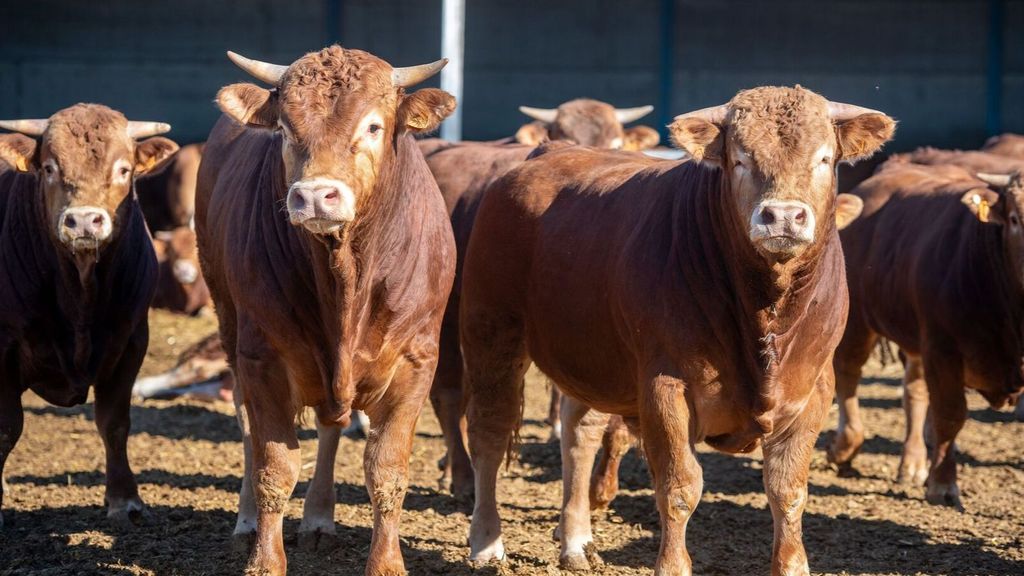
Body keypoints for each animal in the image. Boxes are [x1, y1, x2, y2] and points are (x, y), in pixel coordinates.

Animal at [0, 105, 176, 528]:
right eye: (49, 167)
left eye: (124, 169)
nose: (82, 221)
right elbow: (7, 428)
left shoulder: (132, 340)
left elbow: (114, 423)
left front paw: (124, 499)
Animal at [194, 45, 456, 573]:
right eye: (284, 128)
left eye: (373, 126)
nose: (315, 195)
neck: (345, 281)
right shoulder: (262, 359)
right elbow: (274, 467)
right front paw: (265, 561)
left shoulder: (417, 362)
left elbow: (387, 471)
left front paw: (386, 563)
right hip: (229, 325)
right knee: (248, 428)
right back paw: (247, 523)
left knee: (331, 428)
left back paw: (318, 518)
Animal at [419, 96, 659, 496]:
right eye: (560, 131)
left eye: (616, 141)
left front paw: (603, 483)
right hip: (454, 318)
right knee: (450, 396)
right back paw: (462, 474)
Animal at [460, 86, 892, 573]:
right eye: (739, 159)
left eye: (824, 158)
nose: (783, 216)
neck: (766, 311)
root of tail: (549, 151)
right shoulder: (665, 386)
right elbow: (679, 486)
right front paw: (672, 564)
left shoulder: (813, 389)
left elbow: (788, 489)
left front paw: (792, 565)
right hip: (491, 330)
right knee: (489, 431)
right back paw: (487, 543)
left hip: (589, 354)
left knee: (579, 431)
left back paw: (575, 541)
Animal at [827, 159, 1024, 502]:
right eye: (1014, 218)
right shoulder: (943, 349)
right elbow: (950, 415)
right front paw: (943, 483)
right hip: (860, 322)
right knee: (848, 374)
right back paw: (844, 448)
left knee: (914, 394)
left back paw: (913, 463)